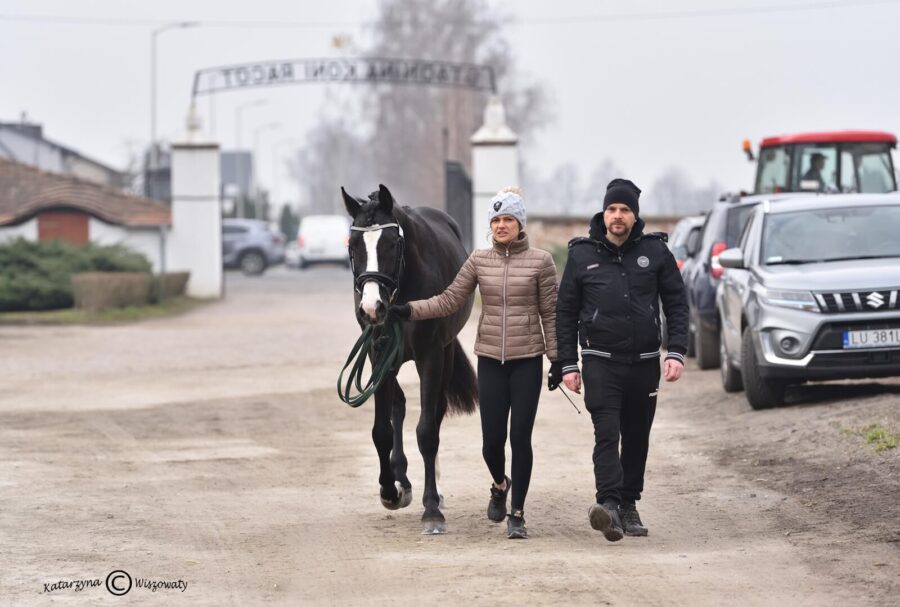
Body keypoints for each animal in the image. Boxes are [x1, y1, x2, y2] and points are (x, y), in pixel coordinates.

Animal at [342, 183, 478, 536]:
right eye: (353, 245)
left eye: (391, 243)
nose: (371, 308)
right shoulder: (378, 353)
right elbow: (381, 430)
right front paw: (389, 490)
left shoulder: (430, 354)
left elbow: (427, 431)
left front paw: (432, 510)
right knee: (398, 405)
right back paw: (401, 479)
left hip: (443, 353)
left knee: (436, 412)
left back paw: (435, 494)